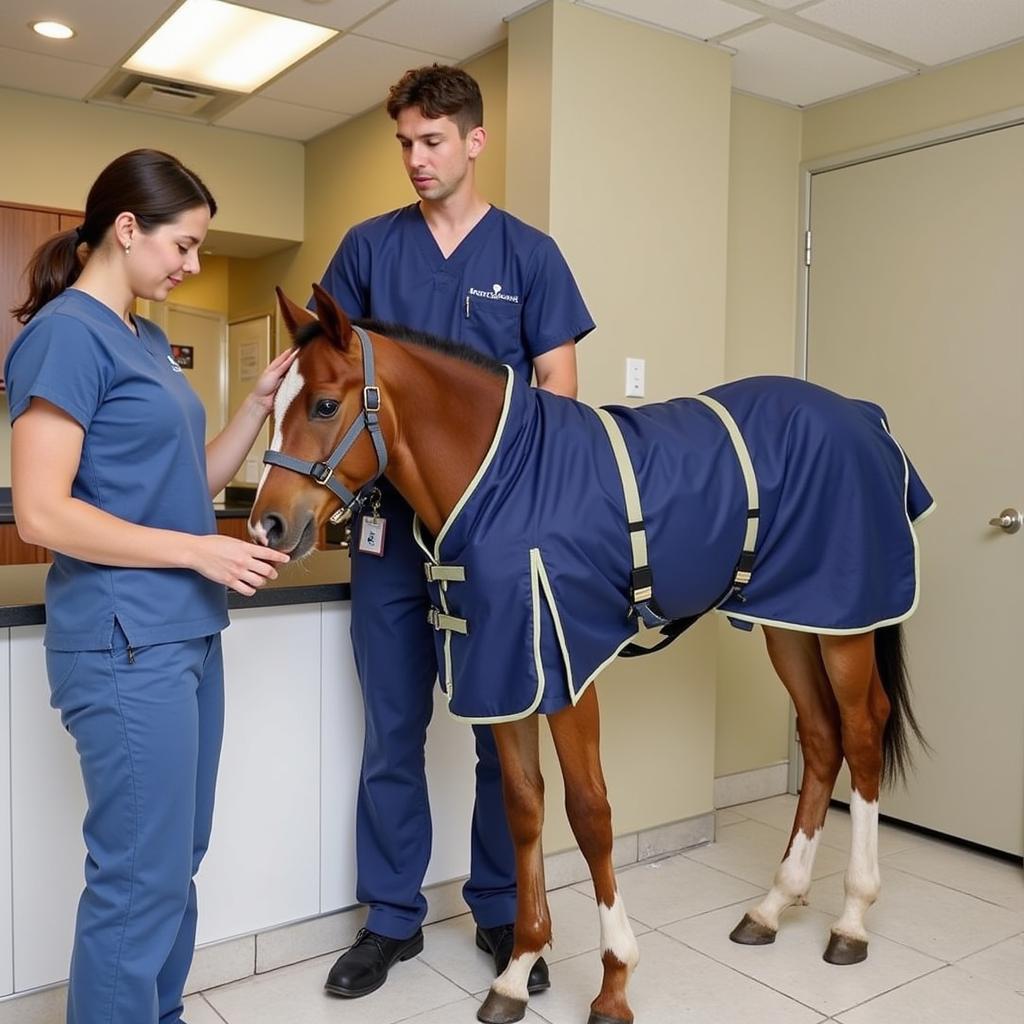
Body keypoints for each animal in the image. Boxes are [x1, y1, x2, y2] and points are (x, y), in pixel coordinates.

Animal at [251, 288, 925, 1024]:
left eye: (323, 404)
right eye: (272, 405)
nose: (266, 524)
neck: (501, 483)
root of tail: (865, 417)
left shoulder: (568, 672)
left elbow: (590, 814)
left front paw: (614, 978)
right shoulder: (507, 675)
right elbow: (523, 811)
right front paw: (518, 971)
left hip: (843, 625)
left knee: (861, 734)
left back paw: (852, 918)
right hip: (793, 620)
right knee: (821, 735)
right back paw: (773, 905)